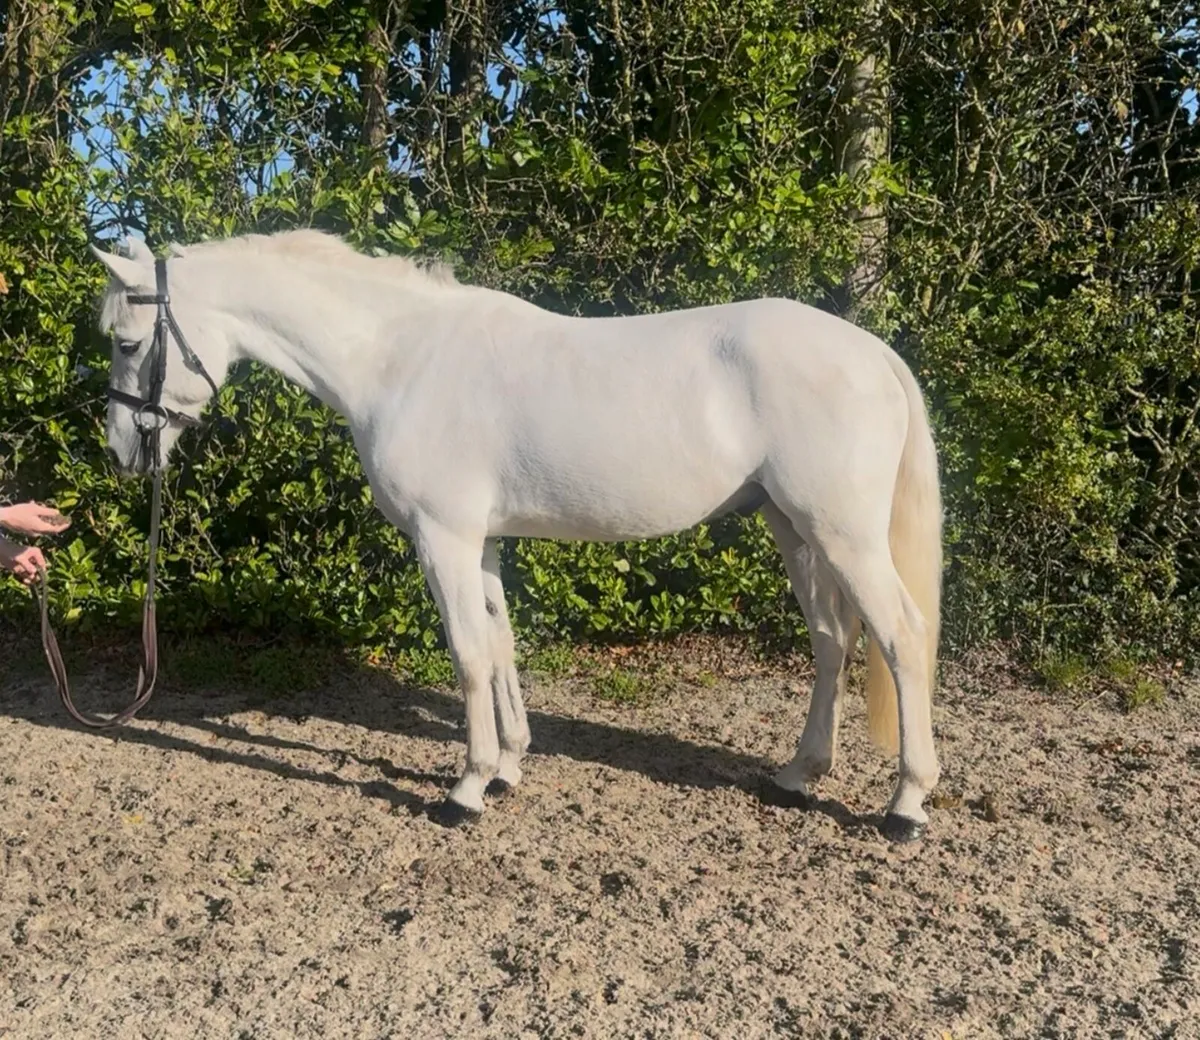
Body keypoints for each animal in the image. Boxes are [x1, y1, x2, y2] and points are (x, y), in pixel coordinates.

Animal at [91, 229, 943, 843]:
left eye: (127, 342)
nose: (124, 451)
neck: (397, 362)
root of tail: (874, 353)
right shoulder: (484, 543)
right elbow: (500, 644)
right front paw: (507, 766)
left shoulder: (444, 538)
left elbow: (468, 653)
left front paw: (465, 790)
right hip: (794, 529)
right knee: (833, 639)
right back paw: (799, 774)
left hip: (843, 534)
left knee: (901, 637)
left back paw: (905, 806)